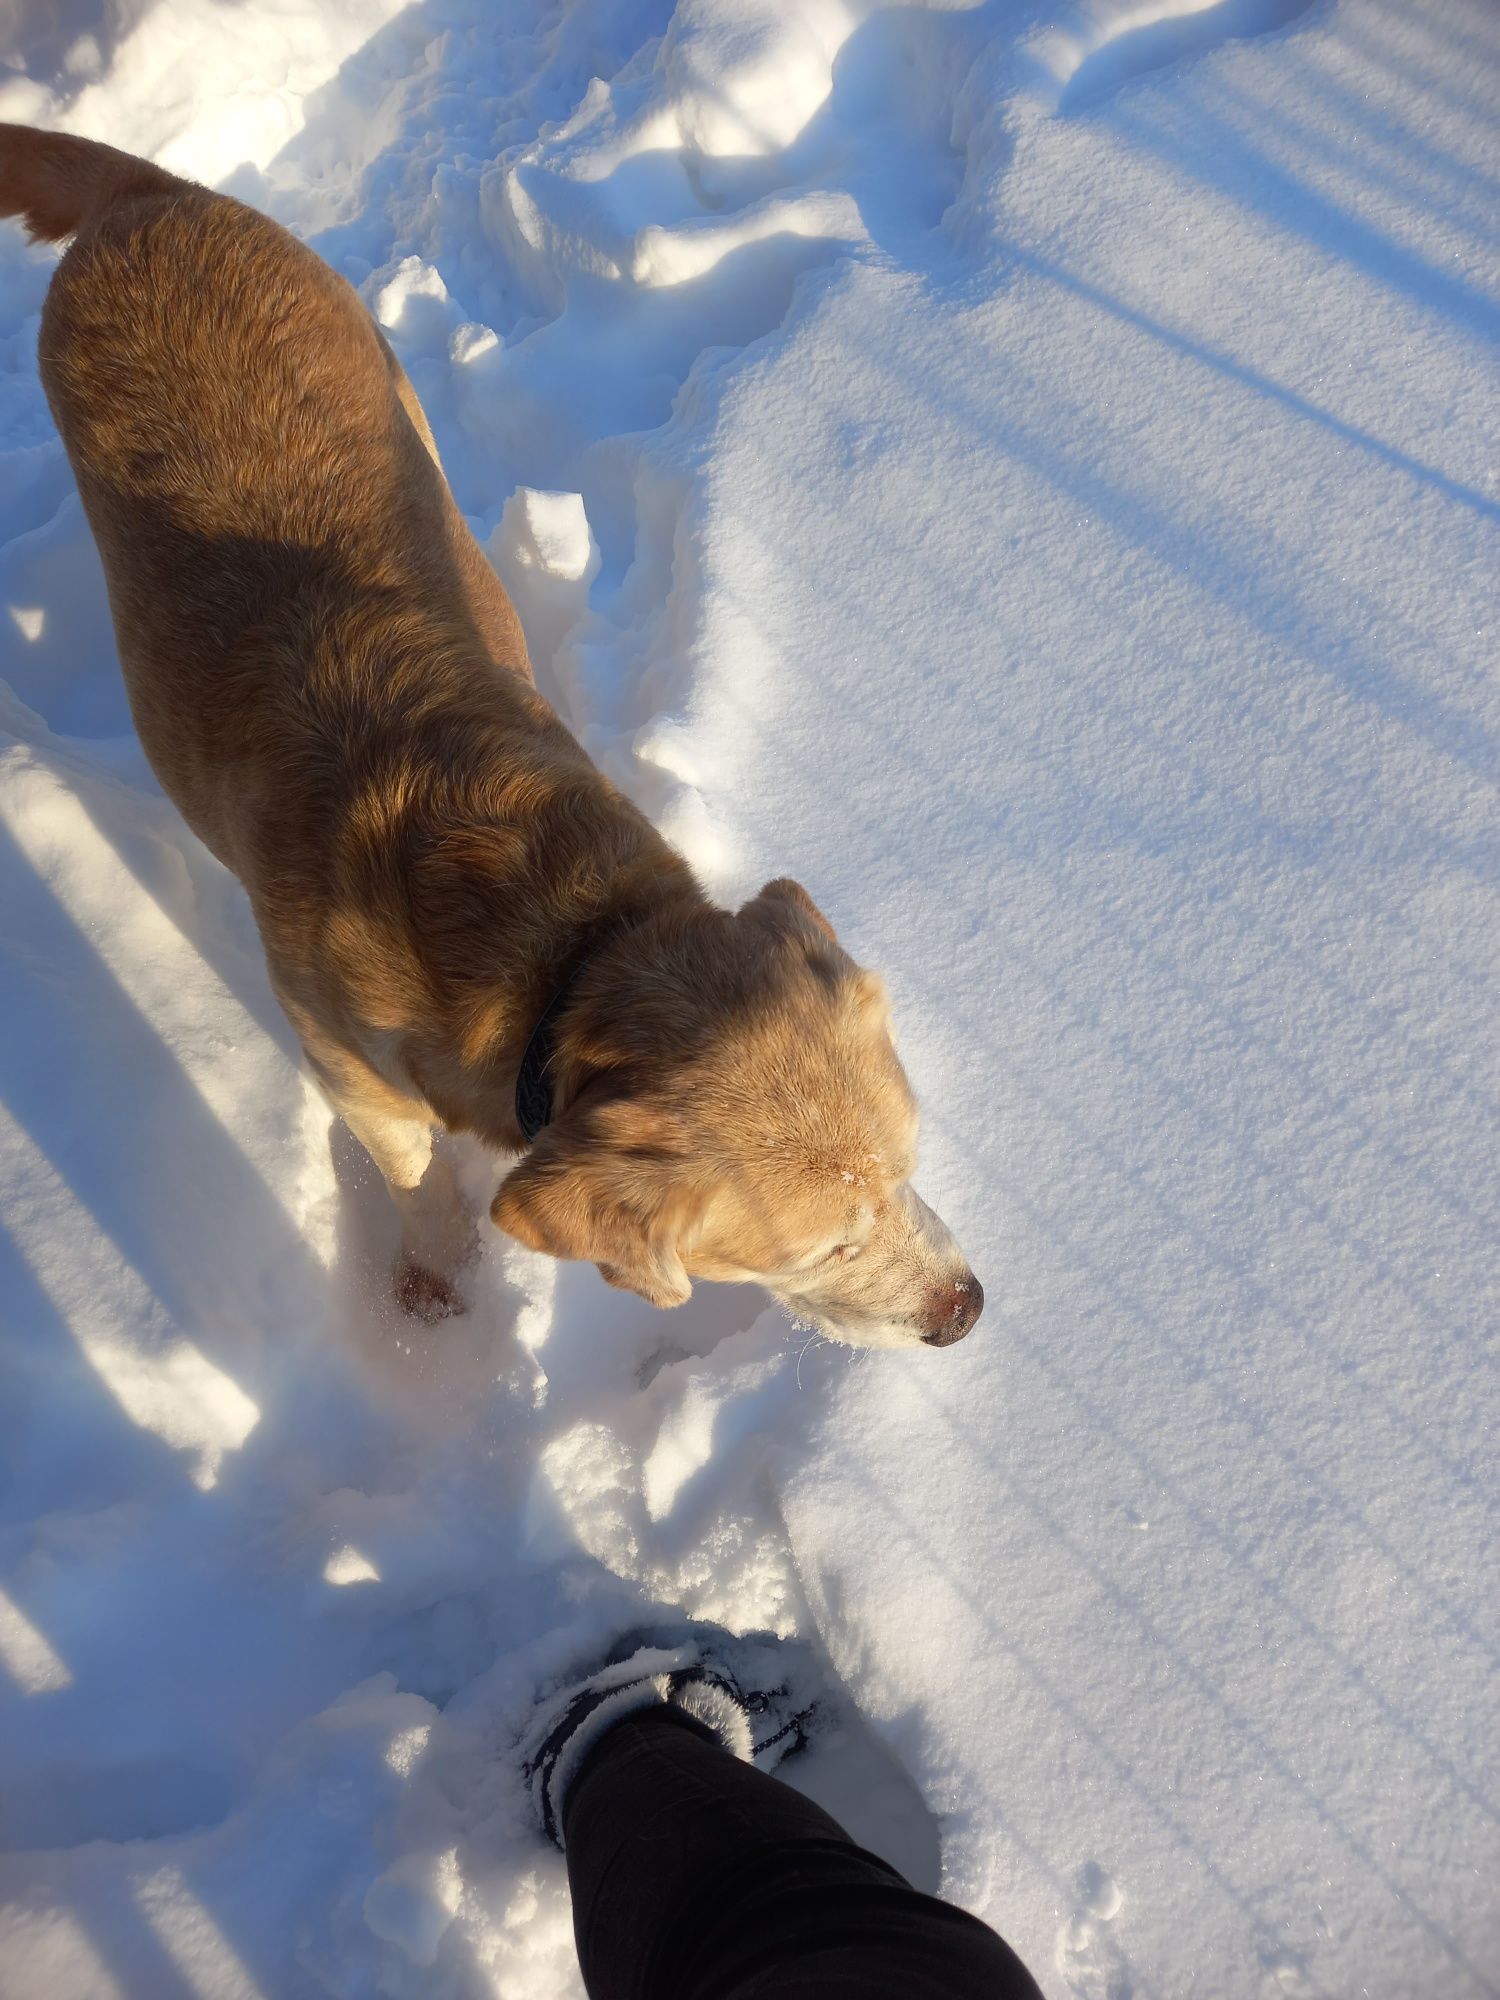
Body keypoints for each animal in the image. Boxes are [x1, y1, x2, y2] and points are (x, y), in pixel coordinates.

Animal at [0, 121, 988, 1344]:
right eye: (825, 1246)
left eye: (909, 1168)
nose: (968, 1309)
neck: (562, 956)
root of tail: (153, 197)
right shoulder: (342, 1060)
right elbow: (413, 1169)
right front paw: (433, 1276)